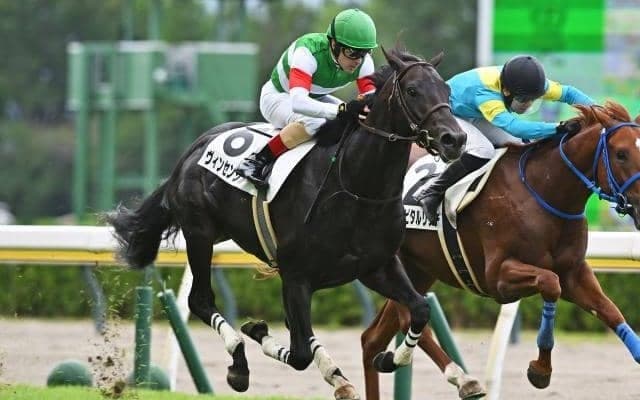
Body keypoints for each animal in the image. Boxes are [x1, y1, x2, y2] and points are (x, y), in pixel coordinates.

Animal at [105, 46, 466, 400]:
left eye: (447, 90)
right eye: (413, 90)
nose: (455, 139)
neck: (356, 187)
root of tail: (194, 149)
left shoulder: (377, 267)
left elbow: (420, 309)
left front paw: (390, 358)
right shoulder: (296, 277)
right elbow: (300, 352)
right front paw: (256, 336)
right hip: (199, 233)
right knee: (201, 300)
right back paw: (241, 361)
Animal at [360, 101, 640, 400]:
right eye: (621, 154)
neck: (543, 191)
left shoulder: (574, 273)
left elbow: (609, 310)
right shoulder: (498, 278)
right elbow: (550, 284)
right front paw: (540, 370)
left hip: (418, 271)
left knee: (372, 338)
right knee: (409, 319)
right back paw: (459, 377)